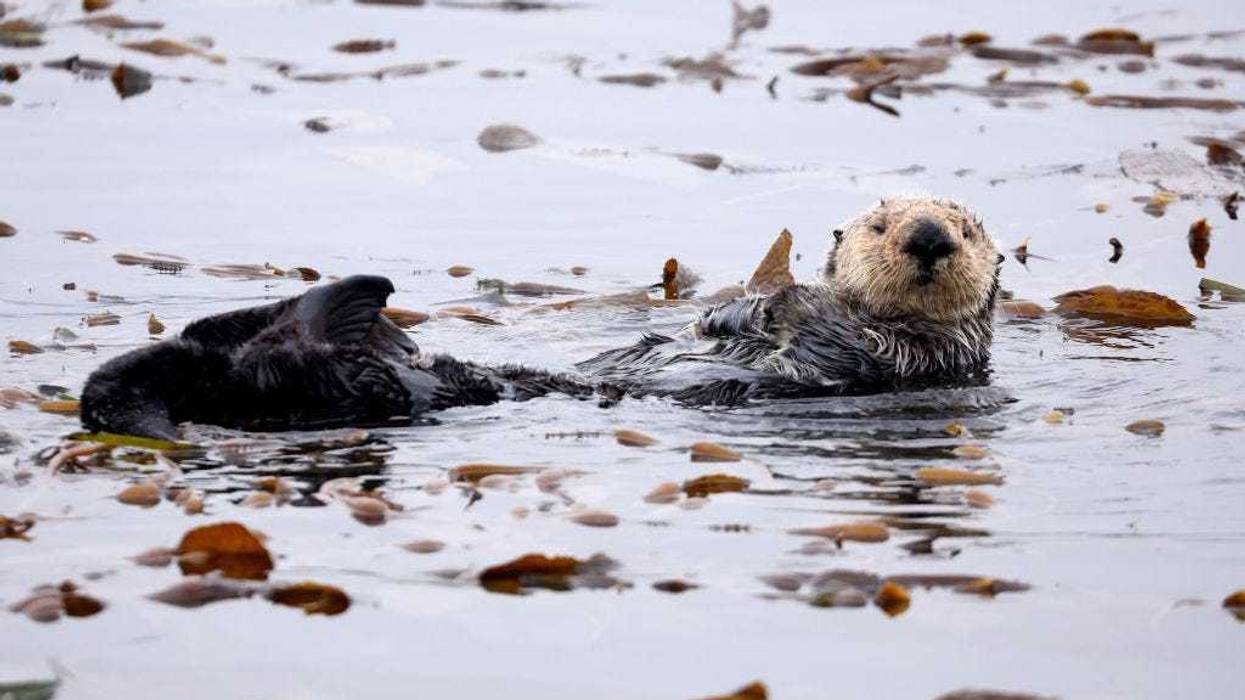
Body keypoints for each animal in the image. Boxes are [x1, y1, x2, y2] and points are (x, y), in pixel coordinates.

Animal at [79, 197, 999, 440]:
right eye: (879, 225)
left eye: (965, 226)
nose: (927, 236)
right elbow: (725, 319)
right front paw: (734, 307)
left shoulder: (912, 357)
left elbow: (828, 335)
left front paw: (774, 301)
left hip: (343, 383)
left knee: (290, 355)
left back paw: (351, 296)